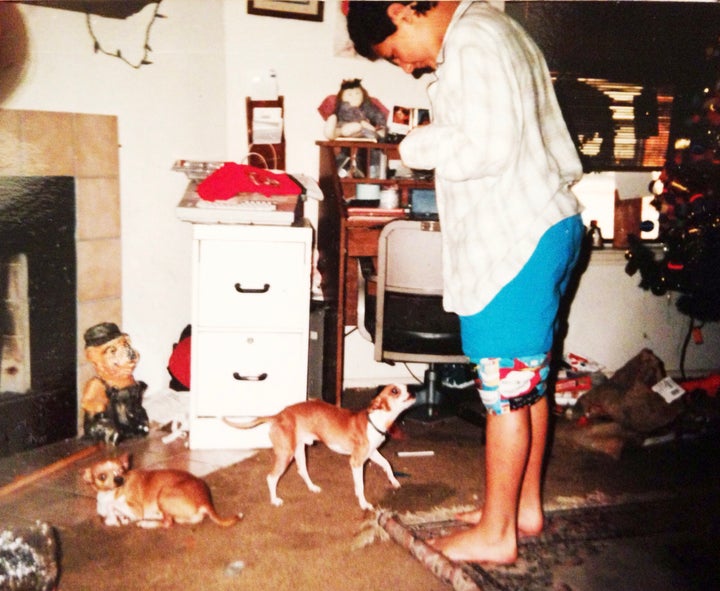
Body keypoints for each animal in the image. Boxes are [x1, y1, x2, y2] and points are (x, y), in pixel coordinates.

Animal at [80, 450, 240, 528]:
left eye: (121, 471)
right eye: (102, 476)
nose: (119, 479)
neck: (110, 494)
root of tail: (205, 501)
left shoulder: (135, 510)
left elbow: (113, 508)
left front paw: (114, 517)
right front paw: (116, 519)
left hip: (163, 495)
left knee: (168, 524)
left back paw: (146, 523)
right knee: (168, 520)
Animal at [225, 386, 416, 512]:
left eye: (405, 387)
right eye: (395, 391)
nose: (413, 392)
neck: (375, 420)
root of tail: (278, 416)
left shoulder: (372, 454)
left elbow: (387, 465)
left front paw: (394, 481)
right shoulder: (356, 461)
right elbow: (361, 485)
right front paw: (363, 503)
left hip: (299, 451)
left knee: (302, 471)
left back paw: (312, 488)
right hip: (286, 454)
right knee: (271, 478)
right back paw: (275, 500)